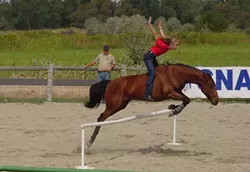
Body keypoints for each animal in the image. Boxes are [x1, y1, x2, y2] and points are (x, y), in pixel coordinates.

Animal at [84, 63, 219, 148]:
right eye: (212, 85)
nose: (216, 101)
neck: (175, 74)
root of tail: (110, 82)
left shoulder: (177, 92)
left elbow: (185, 100)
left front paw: (173, 108)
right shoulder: (170, 93)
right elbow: (187, 100)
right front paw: (174, 110)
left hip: (121, 104)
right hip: (114, 105)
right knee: (101, 117)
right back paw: (90, 141)